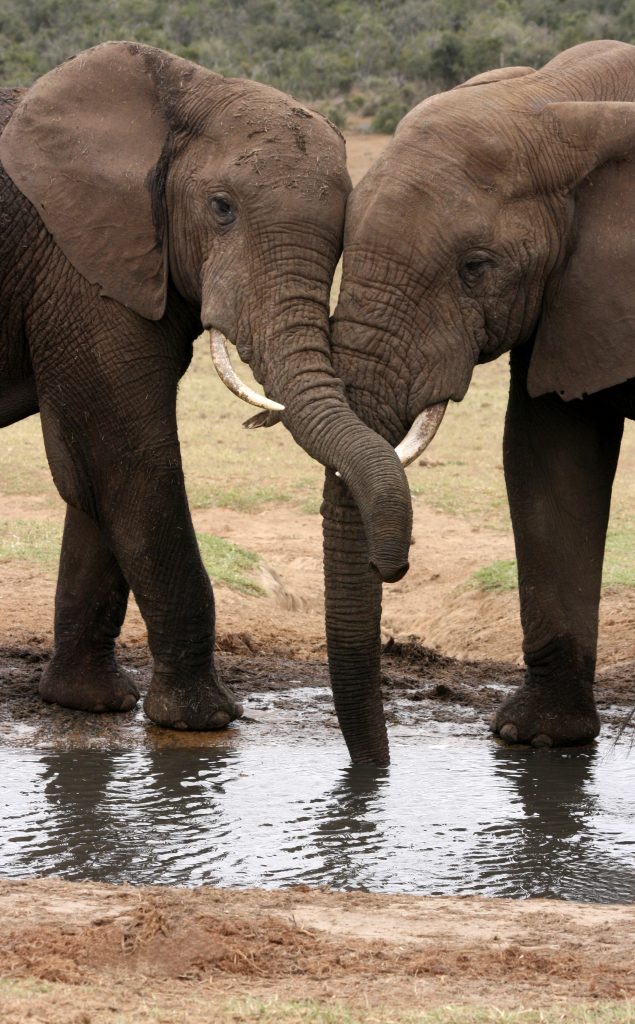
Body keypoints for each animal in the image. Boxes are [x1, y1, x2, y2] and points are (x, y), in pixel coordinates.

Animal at [0, 39, 411, 729]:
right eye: (221, 208)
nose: (393, 564)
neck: (183, 94)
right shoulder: (79, 262)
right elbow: (129, 461)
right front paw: (201, 719)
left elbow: (91, 478)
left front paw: (90, 703)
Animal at [329, 39, 635, 761]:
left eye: (475, 267)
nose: (393, 564)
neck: (563, 97)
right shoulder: (565, 294)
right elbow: (547, 460)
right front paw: (537, 737)